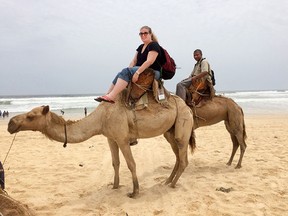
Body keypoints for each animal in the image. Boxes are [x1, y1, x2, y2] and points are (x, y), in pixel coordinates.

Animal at [7, 90, 196, 198]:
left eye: (30, 116)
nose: (10, 123)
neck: (100, 118)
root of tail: (186, 105)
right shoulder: (110, 138)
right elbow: (115, 163)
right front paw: (115, 186)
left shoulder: (122, 138)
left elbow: (131, 164)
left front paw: (134, 192)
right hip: (169, 131)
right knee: (178, 156)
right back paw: (166, 181)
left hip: (183, 123)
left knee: (183, 157)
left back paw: (172, 184)